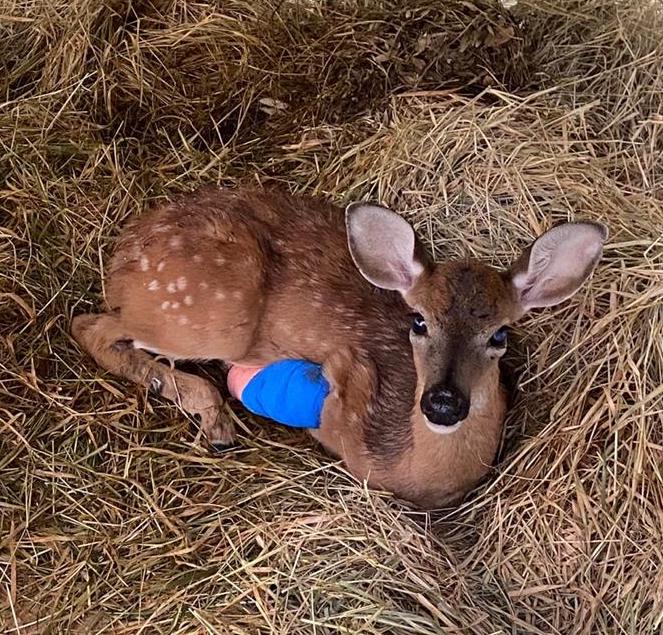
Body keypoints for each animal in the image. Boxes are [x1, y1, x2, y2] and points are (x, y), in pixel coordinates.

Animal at [71, 186, 607, 508]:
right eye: (417, 320)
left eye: (499, 334)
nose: (443, 402)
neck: (418, 469)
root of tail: (123, 252)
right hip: (205, 313)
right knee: (90, 326)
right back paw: (214, 418)